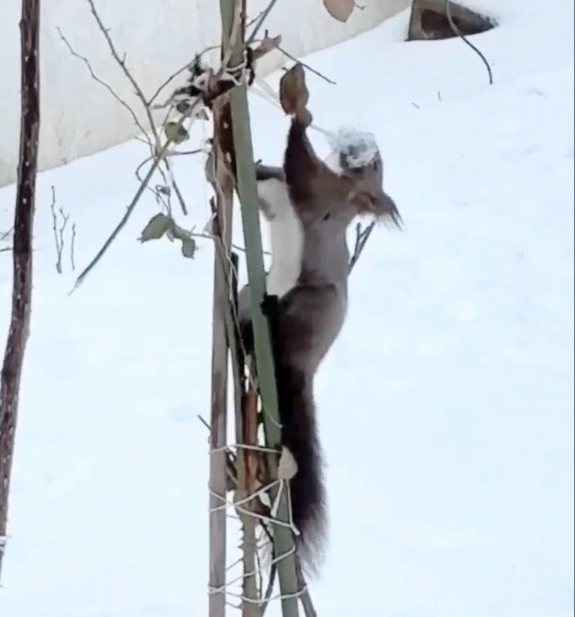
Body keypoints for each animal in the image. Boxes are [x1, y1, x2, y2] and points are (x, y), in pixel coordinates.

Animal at [238, 112, 401, 572]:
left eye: (375, 165)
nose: (359, 146)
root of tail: (305, 367)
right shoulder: (280, 195)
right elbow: (267, 182)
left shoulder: (318, 193)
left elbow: (299, 167)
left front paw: (298, 118)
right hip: (244, 293)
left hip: (310, 304)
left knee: (278, 330)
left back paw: (269, 319)